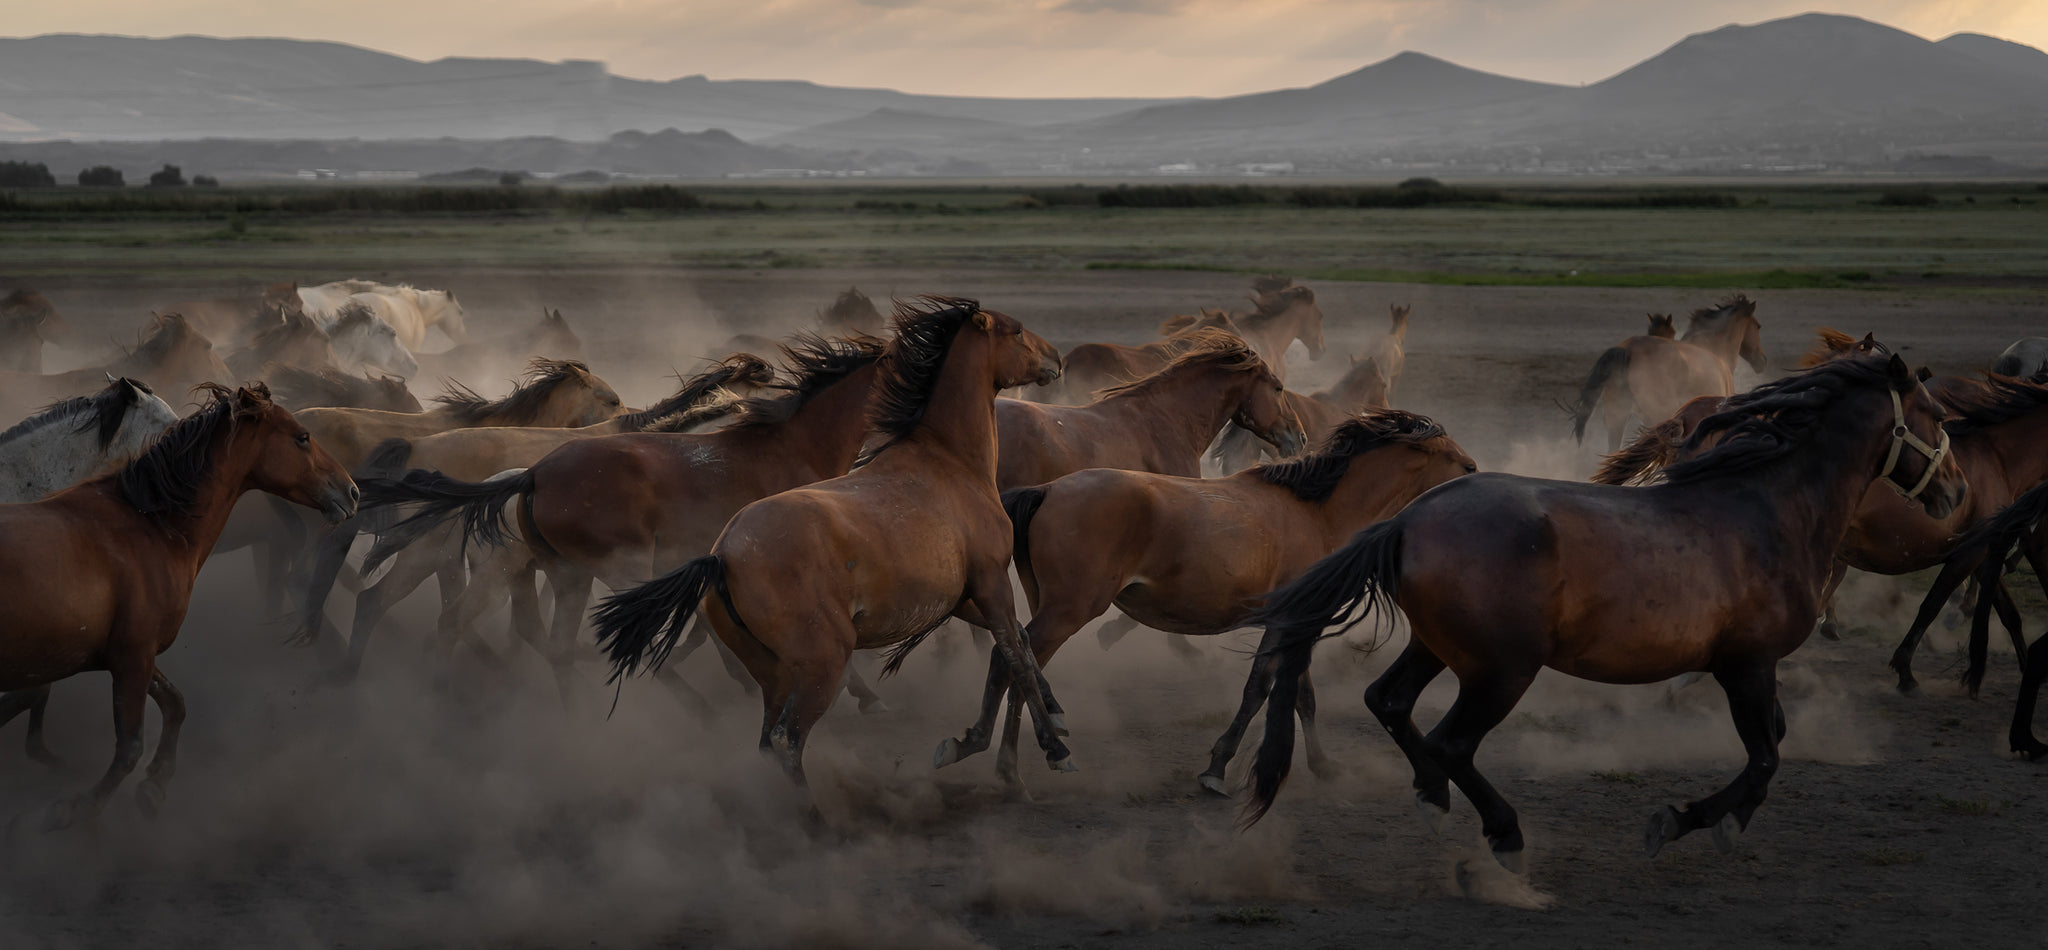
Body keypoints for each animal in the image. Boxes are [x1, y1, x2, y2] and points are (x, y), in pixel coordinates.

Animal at [0, 383, 356, 829]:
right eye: (303, 437)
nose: (353, 492)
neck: (152, 527)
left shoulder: (128, 653)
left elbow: (175, 704)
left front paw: (155, 784)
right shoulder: (130, 657)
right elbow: (129, 745)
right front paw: (78, 807)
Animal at [590, 298, 1071, 788]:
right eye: (1016, 331)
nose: (1057, 359)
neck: (950, 461)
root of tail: (722, 556)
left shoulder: (963, 596)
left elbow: (1017, 646)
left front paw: (989, 734)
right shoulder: (992, 583)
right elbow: (1015, 654)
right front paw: (1051, 748)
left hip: (775, 672)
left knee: (769, 739)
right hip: (822, 660)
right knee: (787, 739)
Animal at [934, 411, 1476, 796]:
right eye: (1461, 464)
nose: (1474, 485)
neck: (1317, 512)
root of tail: (1047, 491)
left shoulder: (1300, 622)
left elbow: (1300, 694)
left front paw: (1324, 766)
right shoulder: (1290, 622)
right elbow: (1260, 690)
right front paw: (1217, 768)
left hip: (1046, 604)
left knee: (1015, 660)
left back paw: (975, 747)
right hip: (1070, 610)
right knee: (1015, 666)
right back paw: (1021, 764)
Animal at [1242, 354, 1962, 876]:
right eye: (1932, 415)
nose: (1955, 492)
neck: (1766, 509)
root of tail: (1406, 520)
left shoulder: (1746, 668)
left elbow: (1774, 743)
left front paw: (1704, 819)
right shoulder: (1748, 664)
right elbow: (1764, 757)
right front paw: (1690, 822)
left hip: (1439, 648)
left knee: (1389, 703)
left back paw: (1432, 797)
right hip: (1503, 670)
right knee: (1451, 743)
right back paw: (1505, 835)